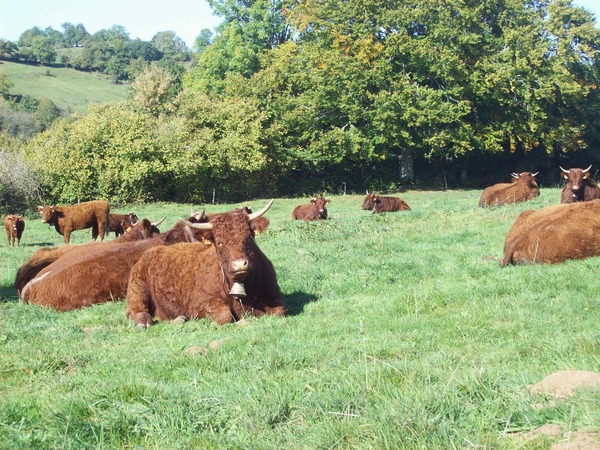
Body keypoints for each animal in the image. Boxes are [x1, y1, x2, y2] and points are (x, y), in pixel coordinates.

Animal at [124, 200, 284, 326]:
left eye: (248, 237)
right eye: (219, 242)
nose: (239, 265)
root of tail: (151, 251)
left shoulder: (274, 297)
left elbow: (279, 311)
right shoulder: (198, 304)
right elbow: (224, 314)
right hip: (137, 289)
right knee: (136, 310)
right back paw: (144, 321)